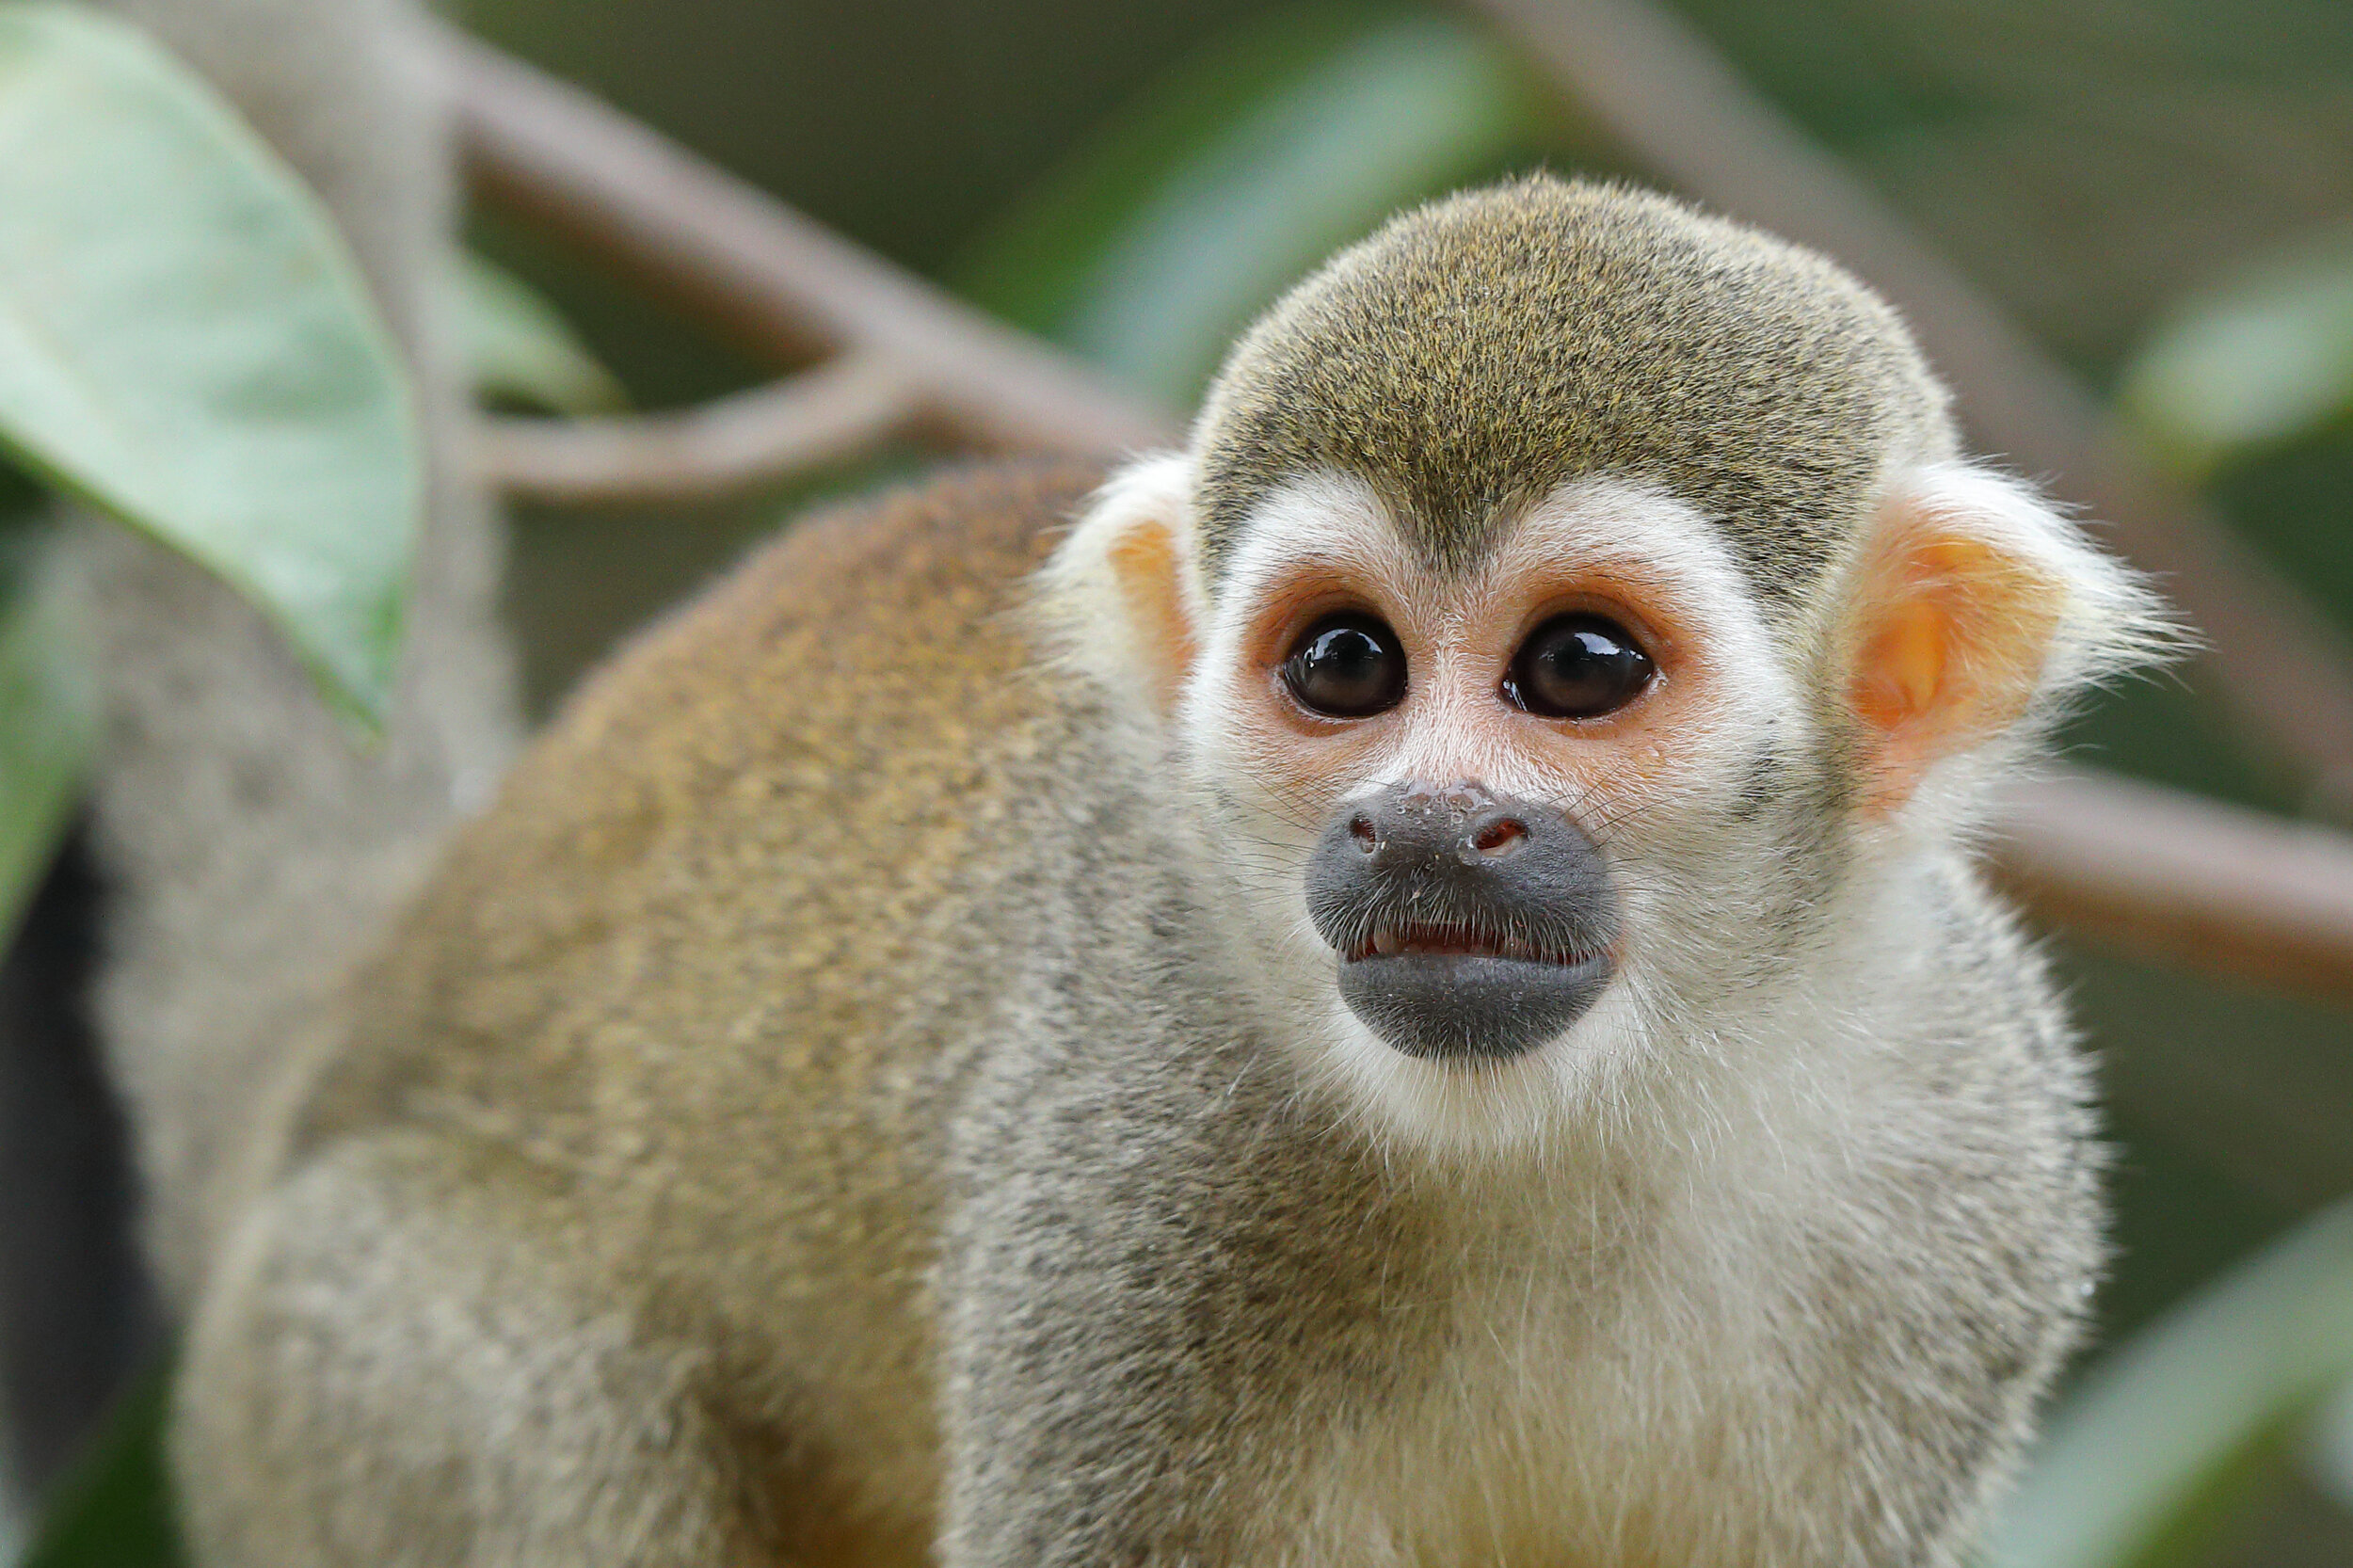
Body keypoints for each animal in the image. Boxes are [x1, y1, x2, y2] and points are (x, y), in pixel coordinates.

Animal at [171, 175, 2167, 1567]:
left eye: (1580, 667)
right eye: (1346, 666)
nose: (1424, 821)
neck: (1595, 1118)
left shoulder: (1975, 1178)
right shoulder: (1137, 1166)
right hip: (327, 1364)